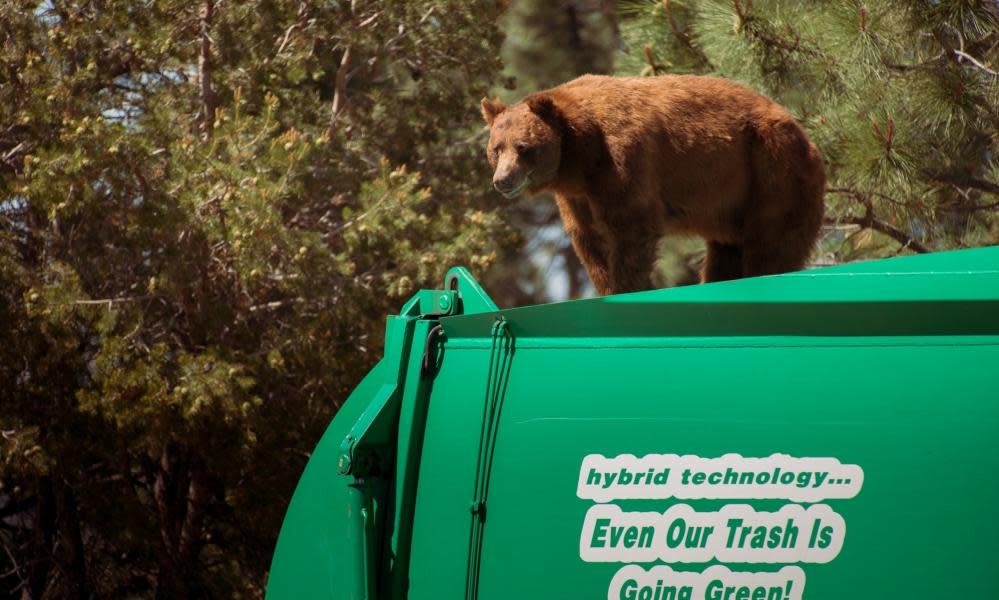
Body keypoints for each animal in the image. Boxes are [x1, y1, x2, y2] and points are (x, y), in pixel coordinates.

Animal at [480, 75, 824, 296]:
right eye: (496, 148)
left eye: (523, 147)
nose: (502, 180)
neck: (579, 156)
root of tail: (806, 136)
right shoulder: (575, 195)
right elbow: (590, 241)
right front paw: (606, 285)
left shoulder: (622, 161)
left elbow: (631, 227)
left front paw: (628, 286)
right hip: (733, 204)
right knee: (727, 254)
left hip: (773, 171)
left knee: (771, 243)